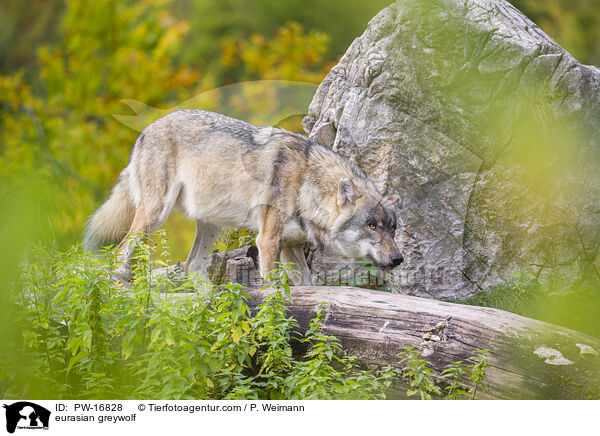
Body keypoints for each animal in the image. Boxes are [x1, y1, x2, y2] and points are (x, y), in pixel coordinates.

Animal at [83, 110, 404, 284]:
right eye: (371, 226)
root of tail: (145, 130)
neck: (306, 181)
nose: (399, 258)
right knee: (120, 252)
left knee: (193, 266)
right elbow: (273, 288)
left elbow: (308, 289)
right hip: (155, 214)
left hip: (211, 225)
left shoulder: (292, 248)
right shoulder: (268, 241)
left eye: (392, 228)